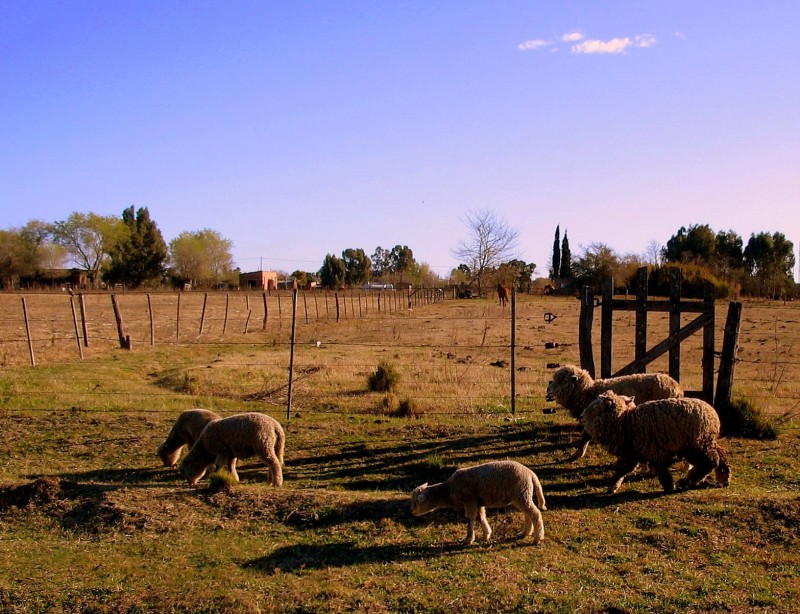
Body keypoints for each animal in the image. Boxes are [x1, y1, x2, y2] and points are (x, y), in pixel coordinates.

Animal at [410, 462, 548, 548]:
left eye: (416, 502)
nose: (412, 512)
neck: (448, 490)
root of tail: (530, 473)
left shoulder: (469, 500)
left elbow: (470, 519)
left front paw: (468, 539)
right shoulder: (478, 501)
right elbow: (481, 516)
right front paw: (486, 534)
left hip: (521, 492)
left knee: (535, 514)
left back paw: (538, 538)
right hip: (522, 495)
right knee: (528, 514)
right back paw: (525, 533)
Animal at [544, 366, 680, 462]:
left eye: (562, 381)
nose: (548, 390)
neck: (587, 391)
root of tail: (676, 387)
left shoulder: (593, 418)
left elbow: (585, 437)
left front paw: (577, 454)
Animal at [580, 394, 736, 496]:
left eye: (596, 407)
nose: (581, 416)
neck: (626, 422)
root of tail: (713, 414)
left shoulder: (653, 451)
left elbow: (661, 471)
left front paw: (669, 486)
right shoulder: (632, 453)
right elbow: (622, 470)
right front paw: (612, 487)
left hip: (696, 444)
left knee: (711, 461)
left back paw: (689, 480)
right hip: (706, 442)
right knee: (721, 456)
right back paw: (724, 478)